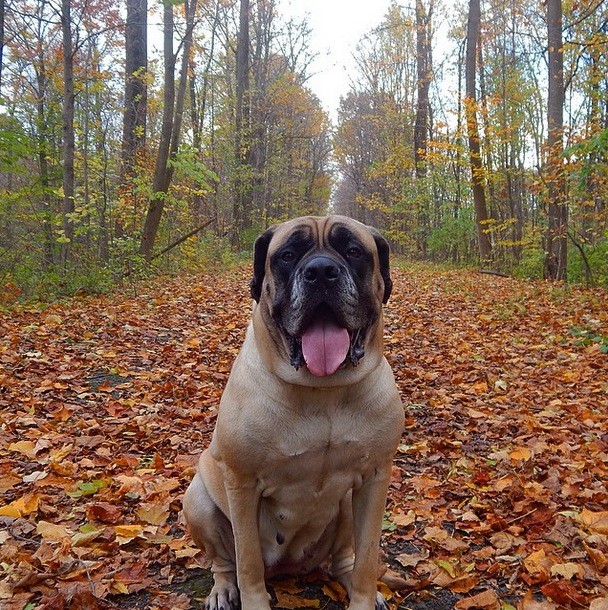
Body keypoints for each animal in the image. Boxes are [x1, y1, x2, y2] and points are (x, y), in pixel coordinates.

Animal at [183, 215, 406, 608]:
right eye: (287, 255)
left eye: (353, 251)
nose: (321, 271)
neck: (323, 394)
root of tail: (290, 567)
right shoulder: (241, 483)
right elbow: (248, 563)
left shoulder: (375, 478)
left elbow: (367, 558)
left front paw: (363, 597)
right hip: (196, 500)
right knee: (225, 562)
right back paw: (223, 589)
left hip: (346, 505)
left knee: (344, 560)